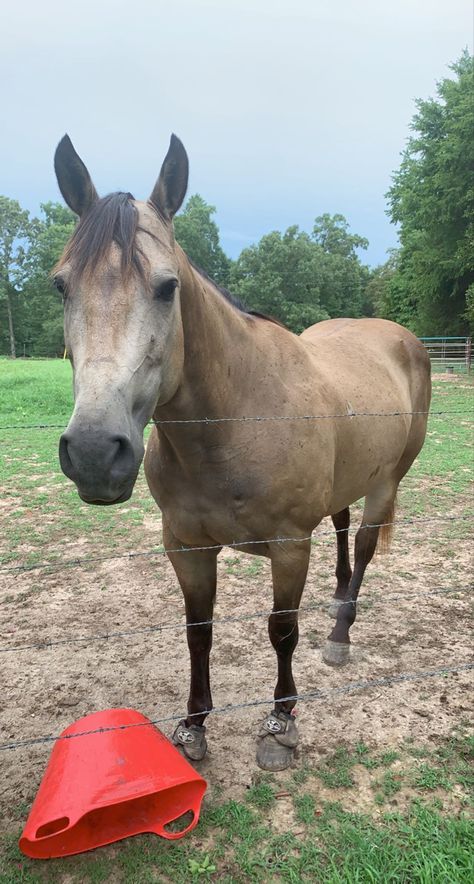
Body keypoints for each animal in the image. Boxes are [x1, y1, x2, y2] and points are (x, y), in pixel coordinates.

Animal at [53, 135, 432, 772]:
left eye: (167, 287)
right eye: (61, 285)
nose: (94, 452)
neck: (234, 421)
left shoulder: (288, 544)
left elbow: (282, 630)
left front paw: (280, 725)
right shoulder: (185, 545)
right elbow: (198, 630)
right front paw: (193, 726)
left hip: (387, 483)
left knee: (363, 545)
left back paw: (341, 632)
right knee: (341, 527)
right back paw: (336, 598)